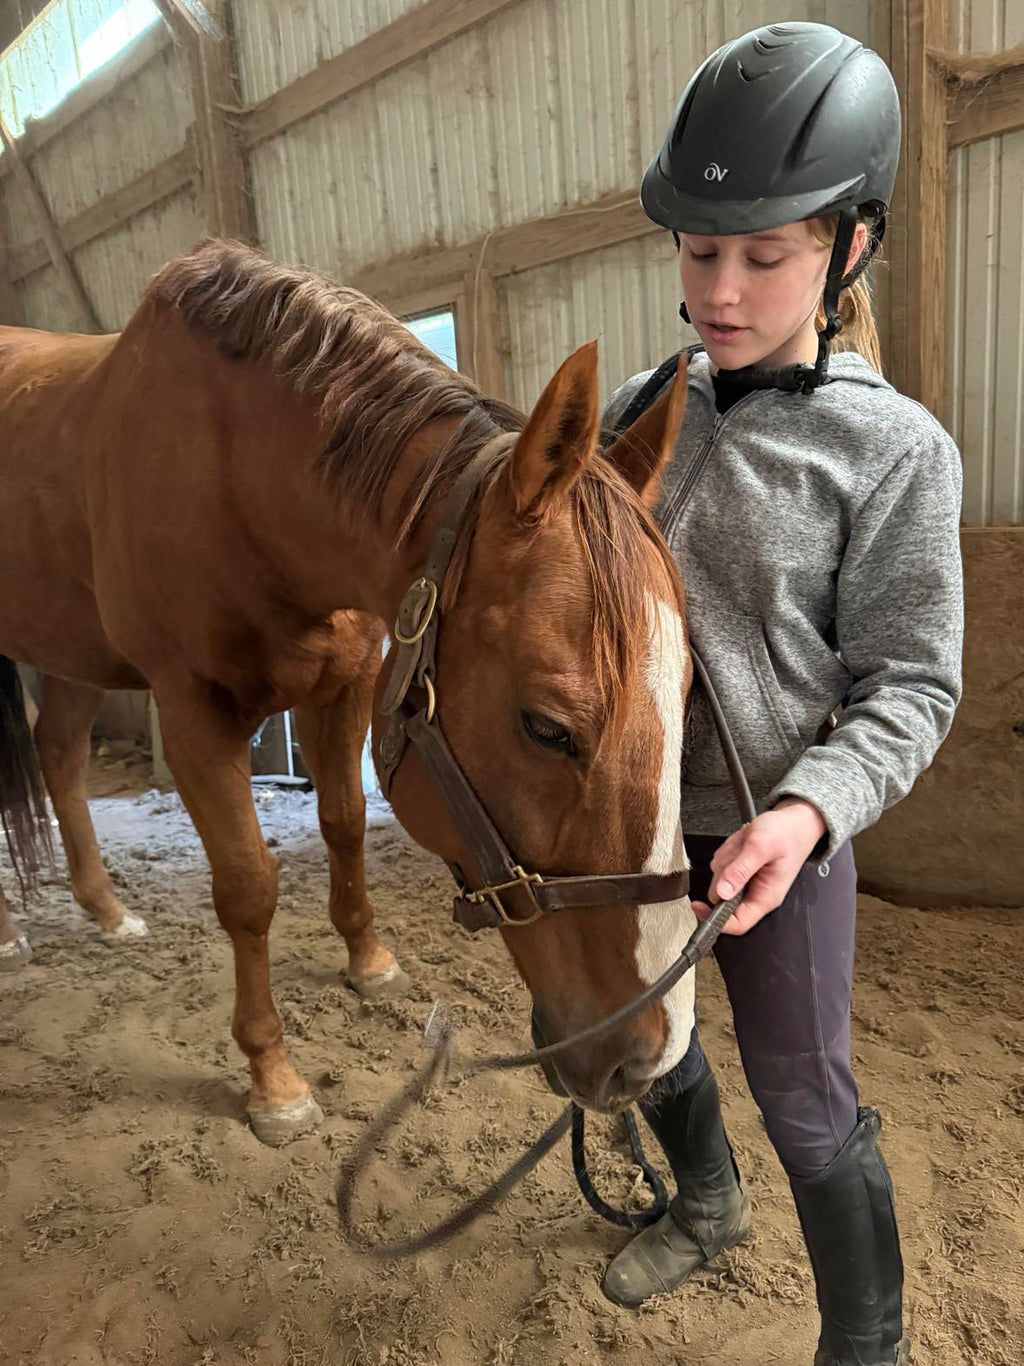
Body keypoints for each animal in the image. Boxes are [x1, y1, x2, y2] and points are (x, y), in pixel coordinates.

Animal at [0, 243, 693, 1141]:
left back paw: (107, 911)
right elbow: (249, 887)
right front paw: (273, 1080)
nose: (650, 1055)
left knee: (58, 757)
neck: (239, 478)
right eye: (546, 728)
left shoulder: (350, 686)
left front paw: (368, 963)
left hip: (72, 655)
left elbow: (344, 823)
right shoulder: (193, 715)